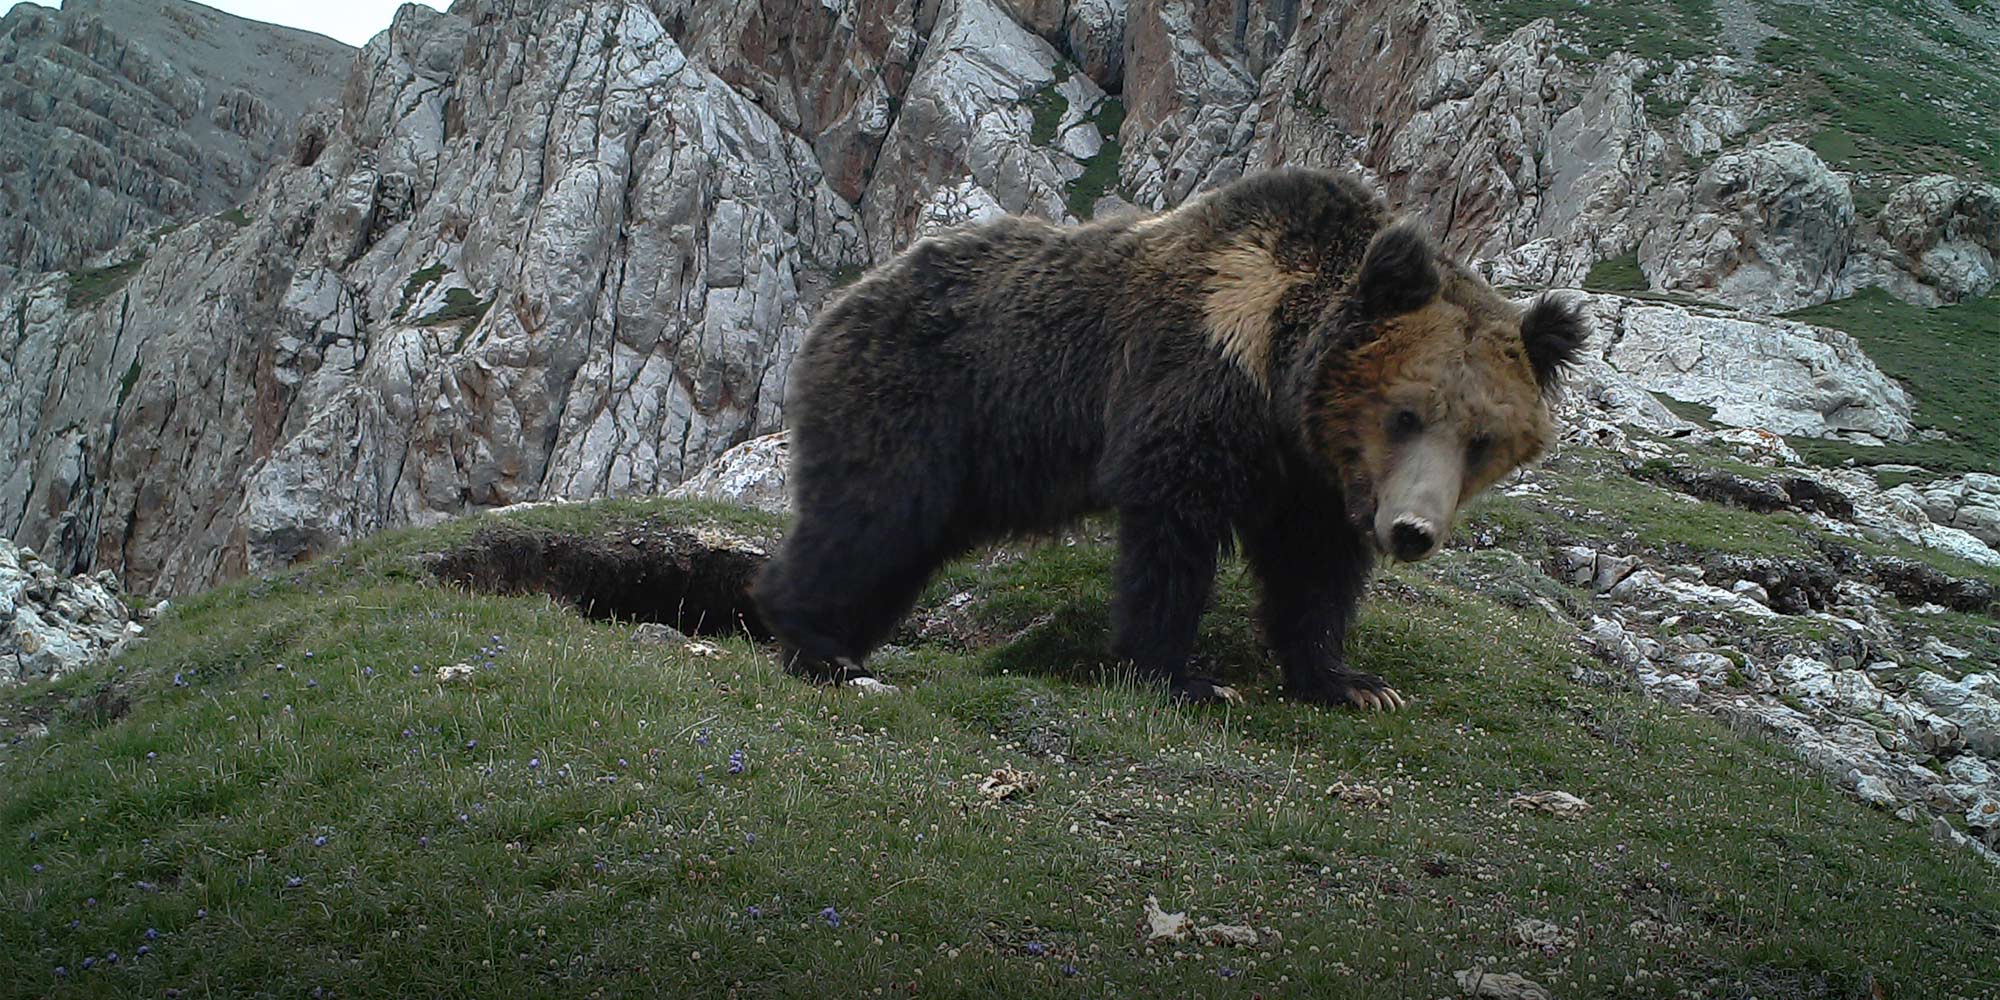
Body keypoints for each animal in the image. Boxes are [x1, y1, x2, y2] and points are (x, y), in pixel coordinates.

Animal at [752, 168, 1576, 708]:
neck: (1282, 383)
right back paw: (813, 642)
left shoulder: (1312, 477)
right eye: (1406, 414)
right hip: (922, 398)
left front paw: (1350, 682)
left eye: (1482, 438)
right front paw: (1183, 677)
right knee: (872, 518)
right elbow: (1172, 531)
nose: (1410, 530)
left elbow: (1313, 570)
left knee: (900, 545)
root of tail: (843, 298)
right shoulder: (1197, 377)